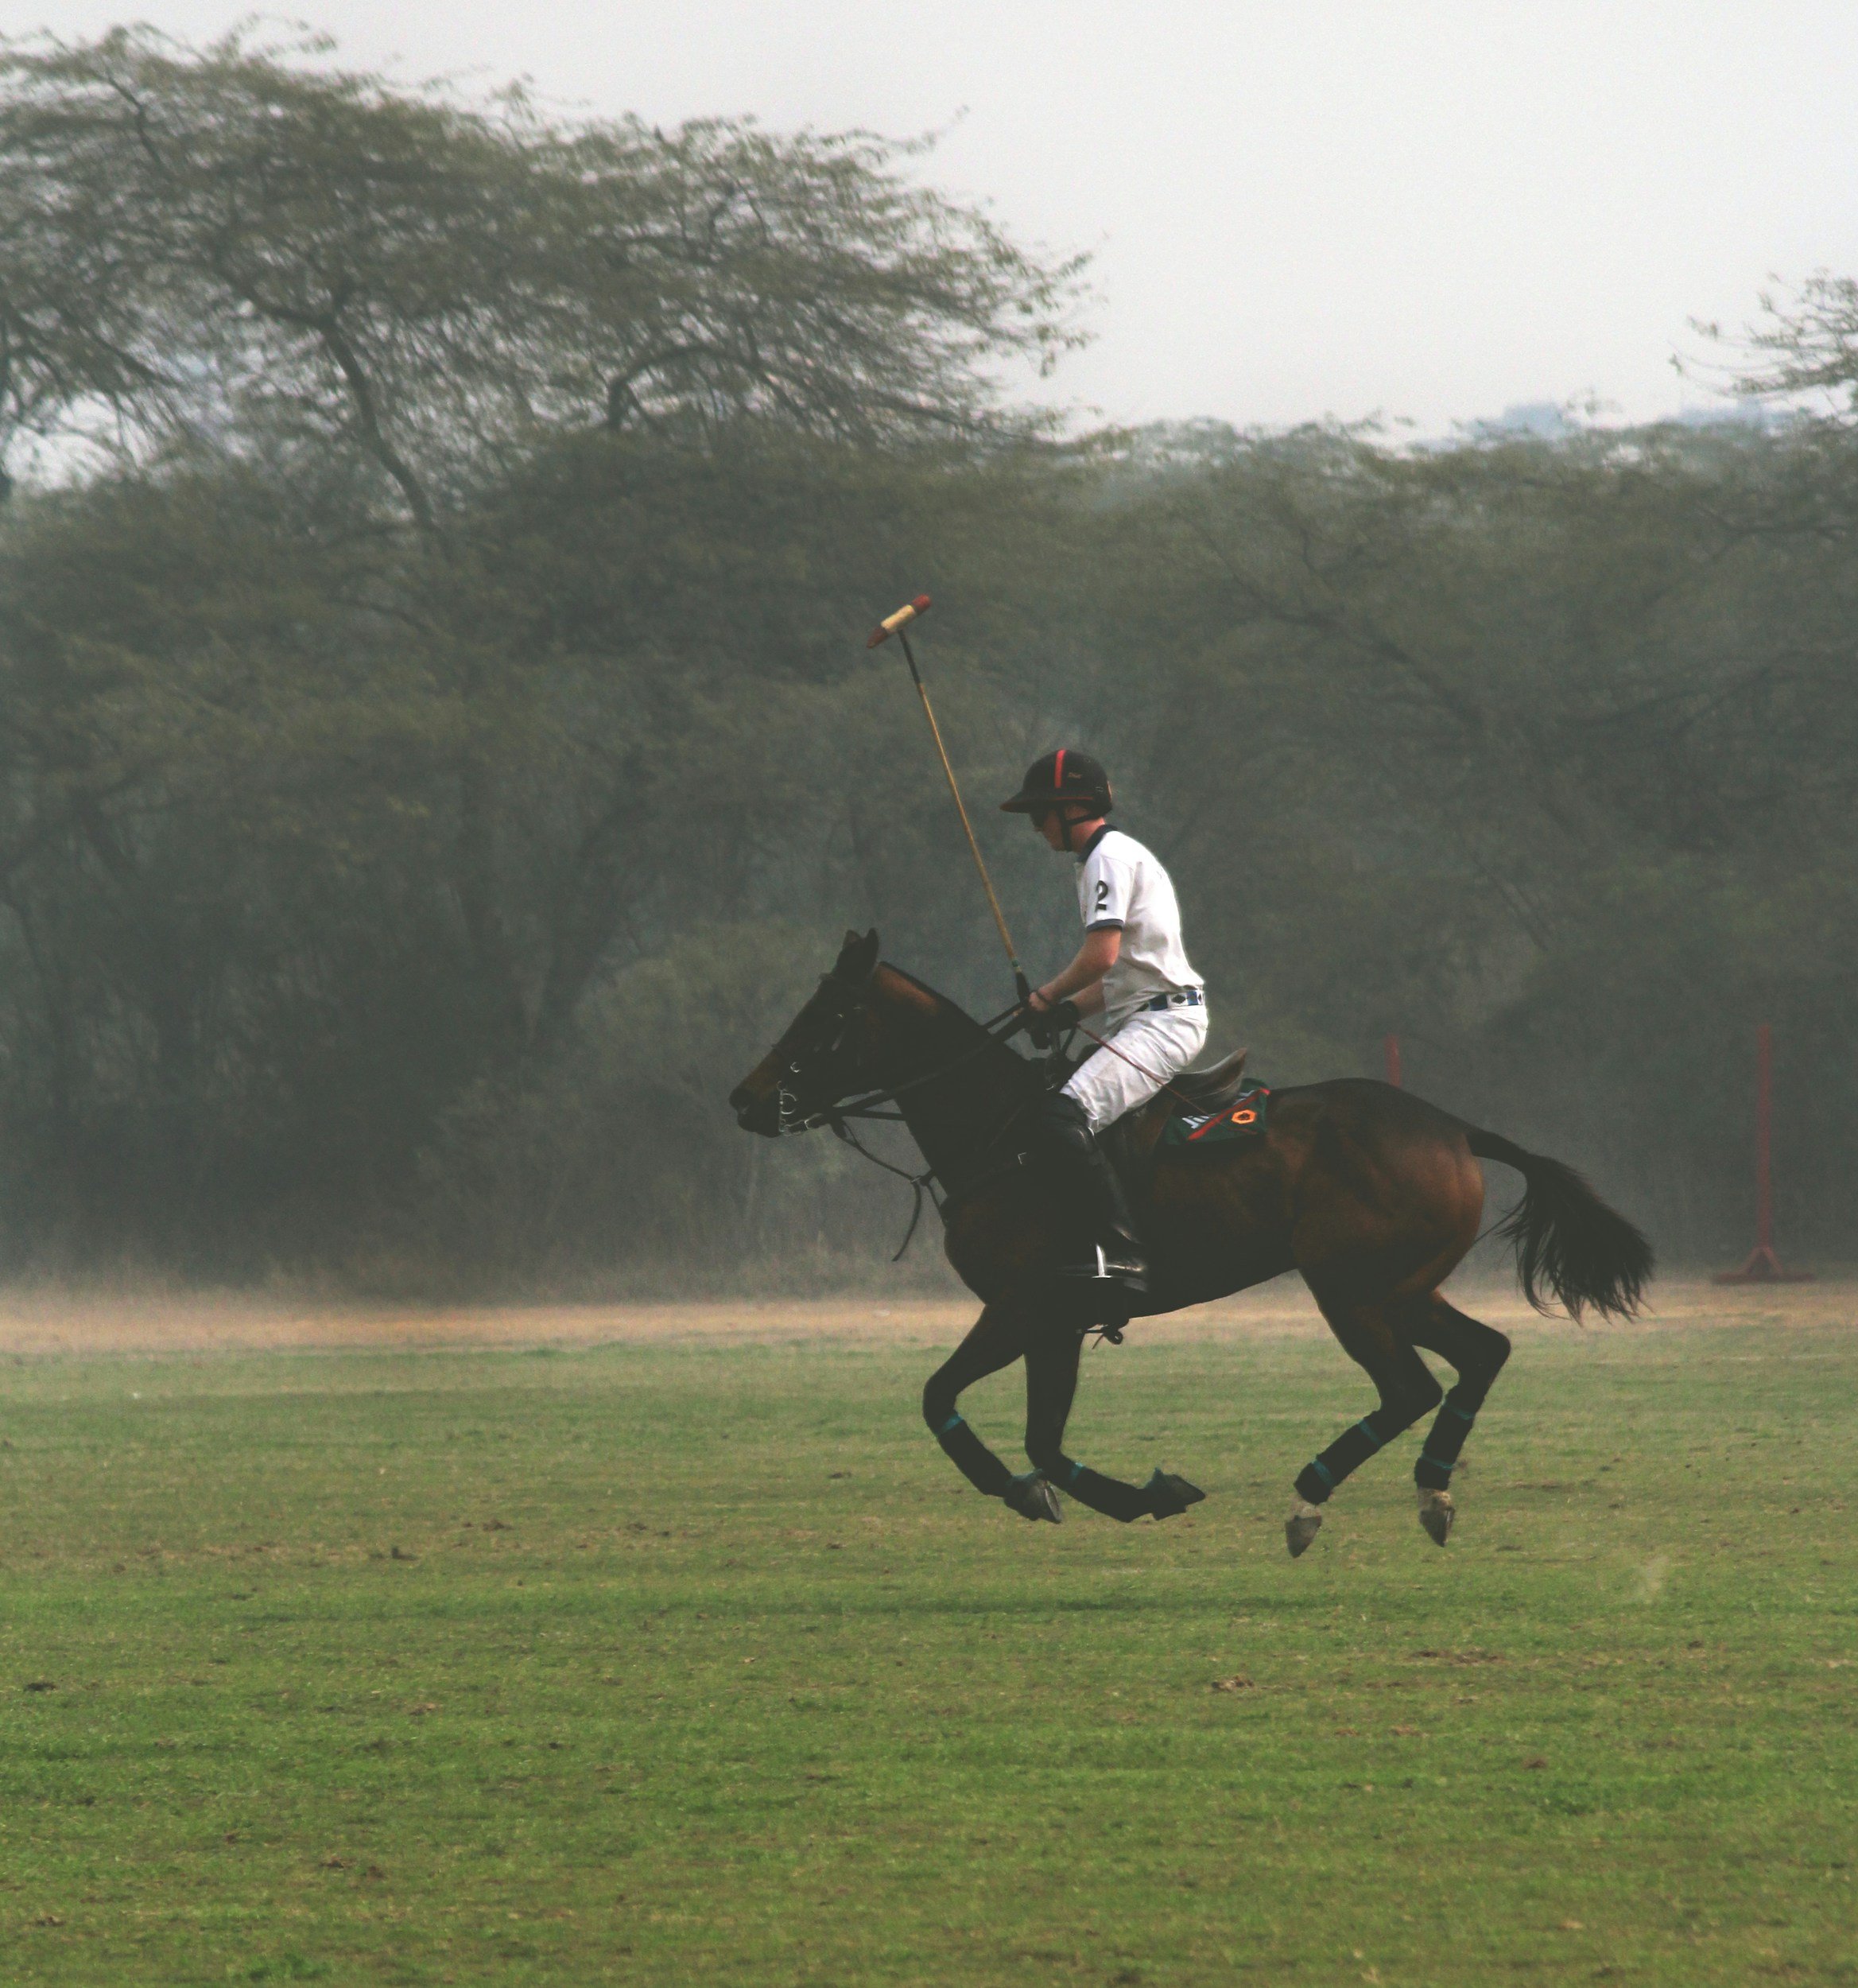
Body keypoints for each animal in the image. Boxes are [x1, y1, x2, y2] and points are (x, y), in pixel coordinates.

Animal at [728, 929, 1652, 1554]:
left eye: (827, 1014)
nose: (746, 1098)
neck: (1001, 1135)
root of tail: (1458, 1130)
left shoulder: (1024, 1306)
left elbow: (943, 1402)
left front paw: (1037, 1494)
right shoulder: (1054, 1323)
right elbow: (1040, 1439)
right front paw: (1141, 1494)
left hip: (1347, 1286)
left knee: (1409, 1386)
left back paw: (1309, 1499)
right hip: (1402, 1285)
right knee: (1482, 1352)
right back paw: (1430, 1491)